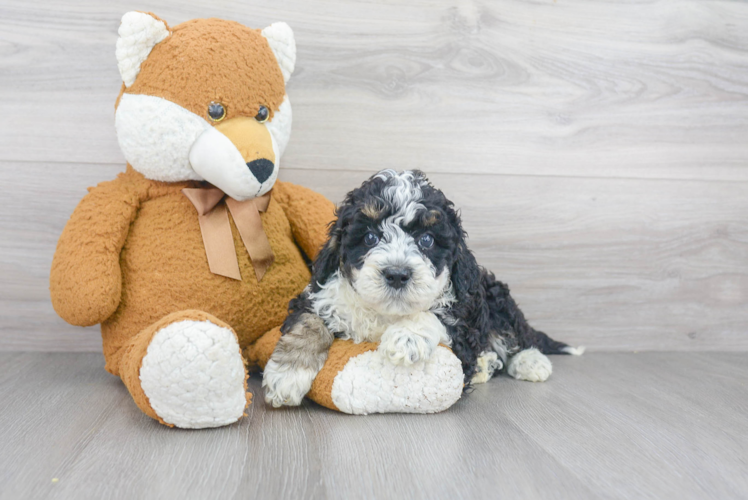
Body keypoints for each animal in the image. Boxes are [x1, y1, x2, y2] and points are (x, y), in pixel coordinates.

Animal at [262, 170, 584, 408]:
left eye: (426, 240)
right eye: (369, 237)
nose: (397, 274)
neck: (386, 314)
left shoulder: (463, 327)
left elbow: (436, 317)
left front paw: (406, 336)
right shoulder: (317, 296)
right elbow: (309, 322)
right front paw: (287, 374)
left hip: (496, 298)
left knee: (518, 334)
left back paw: (530, 361)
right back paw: (487, 365)